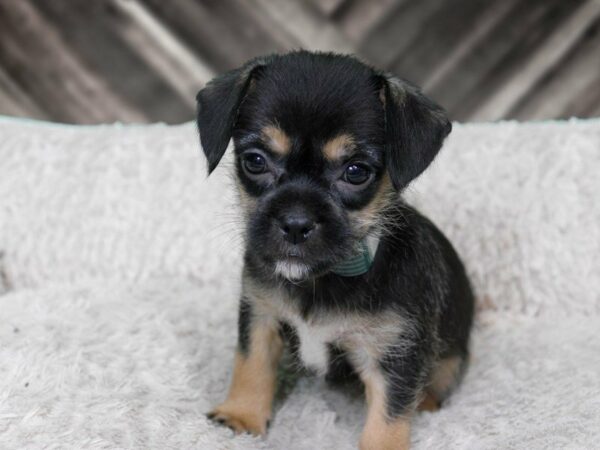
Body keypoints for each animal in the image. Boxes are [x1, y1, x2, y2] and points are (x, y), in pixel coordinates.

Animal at [199, 51, 476, 448]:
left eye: (356, 171)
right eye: (255, 161)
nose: (295, 223)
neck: (322, 279)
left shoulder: (395, 355)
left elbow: (389, 417)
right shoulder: (261, 315)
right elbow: (250, 365)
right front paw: (241, 416)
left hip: (451, 358)